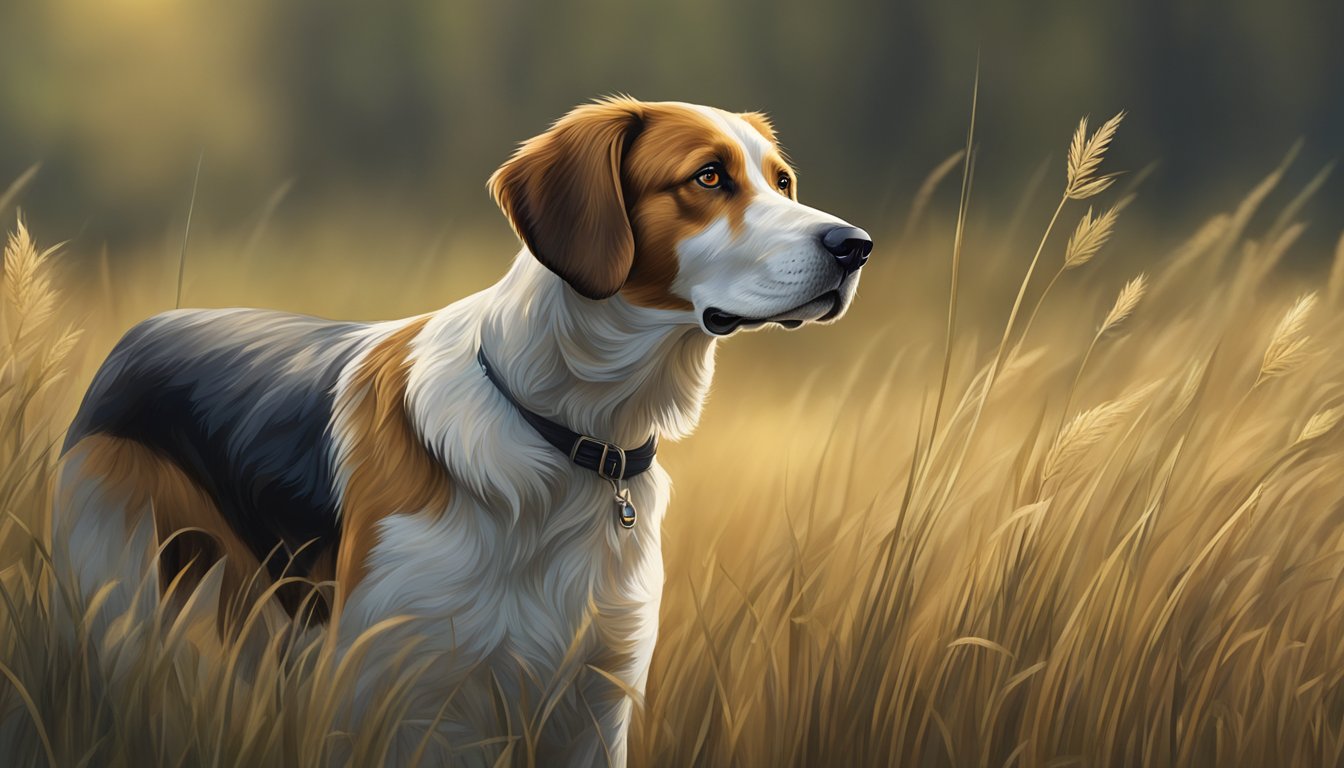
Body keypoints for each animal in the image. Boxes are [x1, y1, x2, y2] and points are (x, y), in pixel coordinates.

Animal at [55, 98, 870, 763]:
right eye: (707, 177)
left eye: (783, 182)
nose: (854, 245)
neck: (570, 437)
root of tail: (140, 333)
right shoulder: (402, 695)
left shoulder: (595, 702)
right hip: (125, 603)